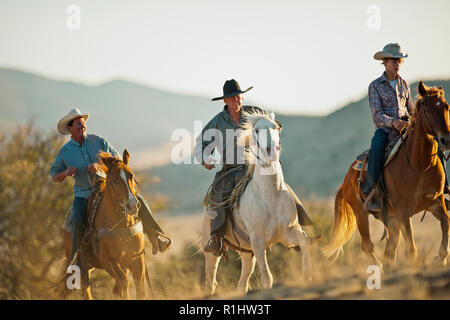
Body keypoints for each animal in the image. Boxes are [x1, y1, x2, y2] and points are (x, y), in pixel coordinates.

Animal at [55, 149, 151, 298]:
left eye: (131, 175)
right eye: (113, 180)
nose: (132, 205)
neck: (122, 226)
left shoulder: (137, 260)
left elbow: (139, 289)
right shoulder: (108, 261)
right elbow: (124, 282)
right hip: (82, 265)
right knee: (86, 289)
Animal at [202, 110, 312, 296]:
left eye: (276, 127)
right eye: (257, 130)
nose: (271, 152)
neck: (270, 197)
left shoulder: (288, 233)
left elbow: (305, 242)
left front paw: (306, 276)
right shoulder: (258, 242)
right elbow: (267, 279)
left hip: (247, 253)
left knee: (242, 283)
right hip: (212, 250)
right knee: (211, 281)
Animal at [324, 81, 450, 268]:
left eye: (446, 106)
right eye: (427, 109)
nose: (446, 140)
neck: (419, 166)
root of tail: (346, 179)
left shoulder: (436, 202)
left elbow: (446, 223)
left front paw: (440, 258)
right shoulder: (404, 211)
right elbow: (411, 249)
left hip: (391, 218)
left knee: (390, 249)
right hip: (361, 213)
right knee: (368, 246)